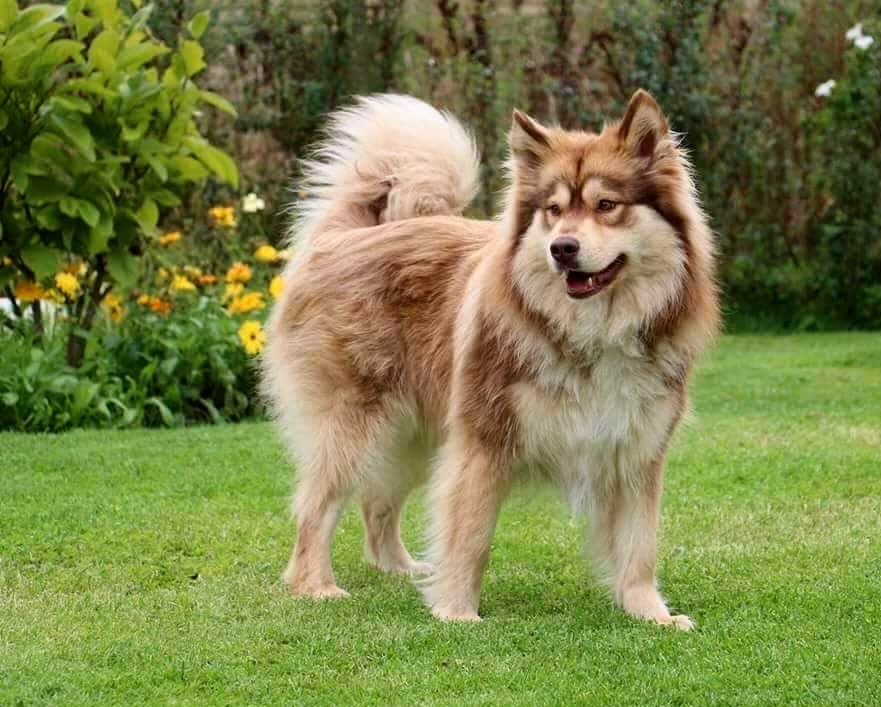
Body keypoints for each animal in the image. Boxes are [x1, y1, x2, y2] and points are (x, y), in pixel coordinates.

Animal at [262, 90, 716, 632]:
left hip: (413, 435)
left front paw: (650, 613)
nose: (562, 248)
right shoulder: (482, 443)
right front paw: (457, 610)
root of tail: (342, 238)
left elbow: (638, 545)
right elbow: (471, 535)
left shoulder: (636, 452)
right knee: (317, 505)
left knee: (377, 503)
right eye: (553, 210)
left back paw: (399, 568)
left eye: (607, 205)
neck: (593, 334)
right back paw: (315, 585)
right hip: (355, 425)